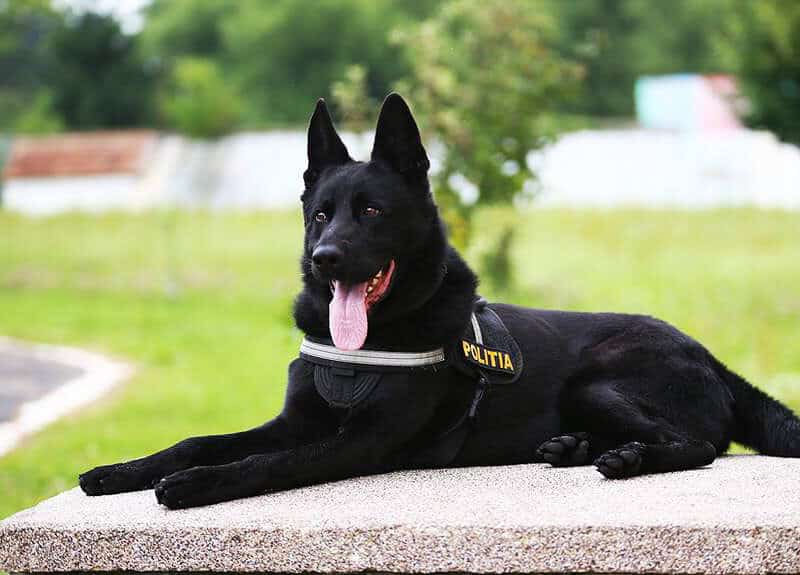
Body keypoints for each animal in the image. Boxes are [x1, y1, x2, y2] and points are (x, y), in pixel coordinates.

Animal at [79, 97, 800, 510]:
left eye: (371, 212)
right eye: (320, 215)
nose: (326, 258)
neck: (366, 346)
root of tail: (708, 354)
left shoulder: (356, 441)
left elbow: (266, 462)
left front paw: (198, 485)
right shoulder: (294, 420)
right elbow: (199, 439)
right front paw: (123, 470)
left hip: (599, 380)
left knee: (698, 443)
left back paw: (629, 459)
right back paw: (572, 447)